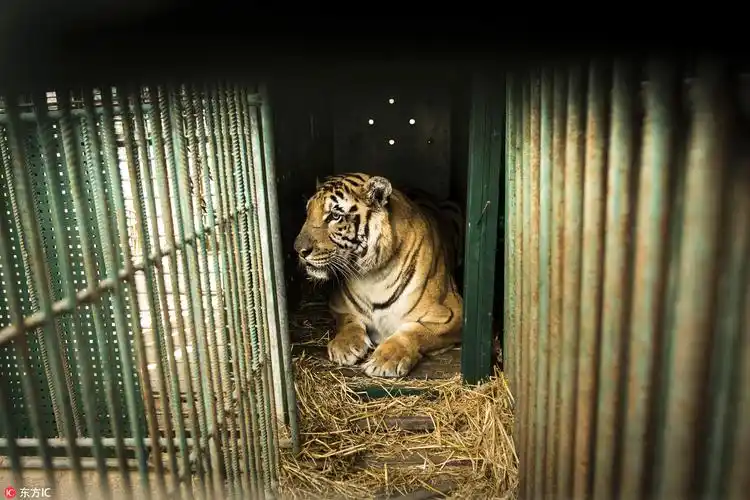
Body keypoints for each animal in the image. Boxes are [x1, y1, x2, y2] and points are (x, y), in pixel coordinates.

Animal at [293, 172, 465, 378]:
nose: (298, 250)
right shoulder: (338, 305)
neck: (374, 277)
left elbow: (415, 331)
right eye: (308, 213)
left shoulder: (453, 312)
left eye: (335, 216)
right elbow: (348, 321)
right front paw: (344, 346)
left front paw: (386, 360)